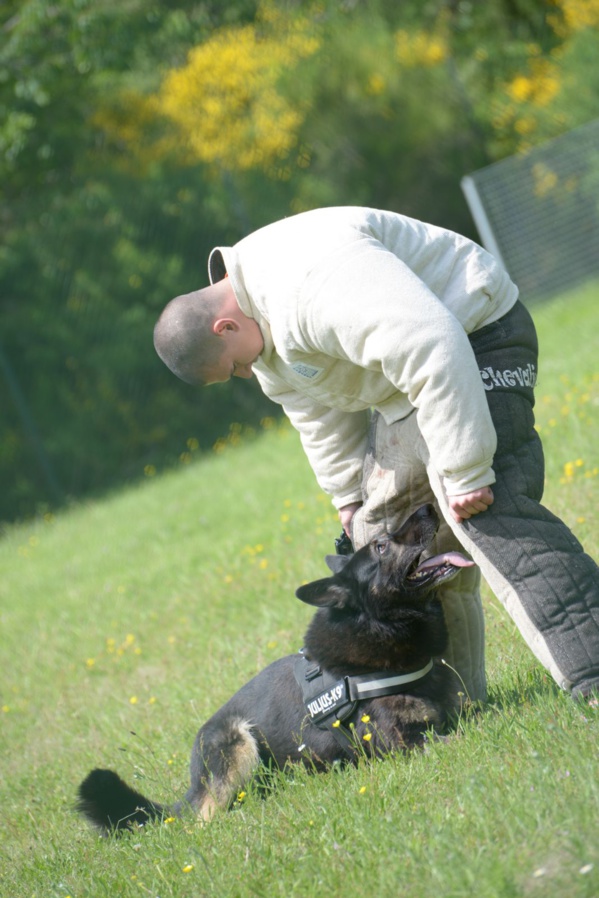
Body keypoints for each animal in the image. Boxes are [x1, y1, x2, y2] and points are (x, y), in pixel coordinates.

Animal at [76, 500, 474, 828]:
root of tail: (190, 788)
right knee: (204, 818)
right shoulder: (405, 743)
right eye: (381, 546)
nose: (428, 507)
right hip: (236, 740)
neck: (375, 624)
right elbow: (458, 738)